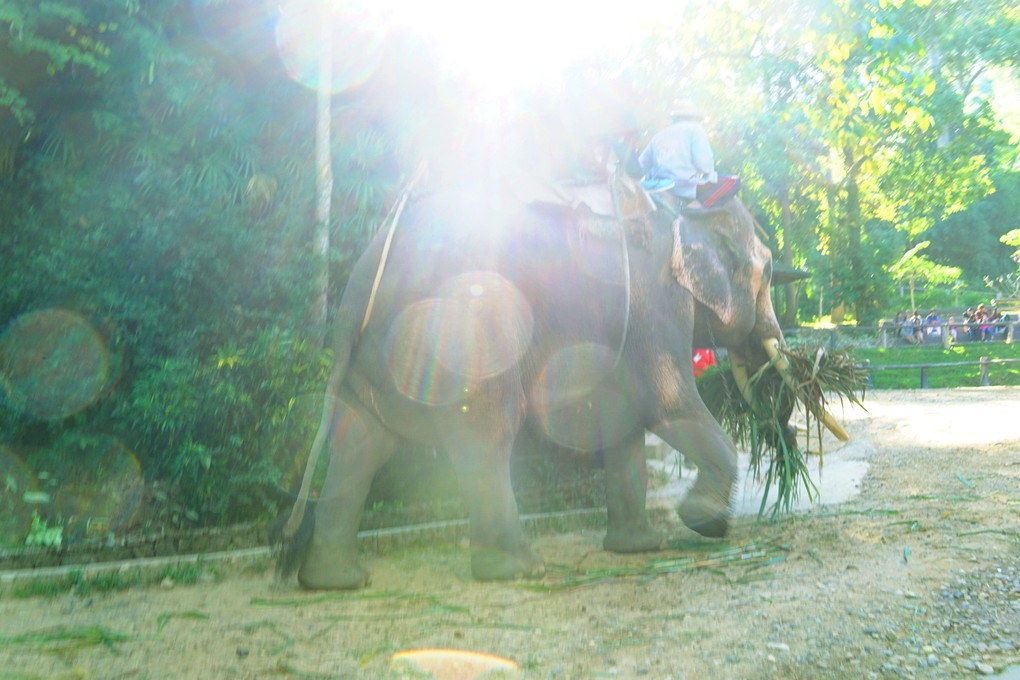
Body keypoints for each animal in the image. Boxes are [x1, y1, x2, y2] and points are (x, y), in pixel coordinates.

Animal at [271, 187, 844, 591]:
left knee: (361, 442)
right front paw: (705, 524)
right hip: (470, 336)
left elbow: (619, 420)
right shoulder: (657, 309)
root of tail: (364, 276)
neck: (685, 210)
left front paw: (640, 548)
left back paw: (336, 582)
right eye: (766, 275)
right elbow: (666, 403)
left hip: (376, 355)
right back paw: (521, 570)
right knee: (485, 436)